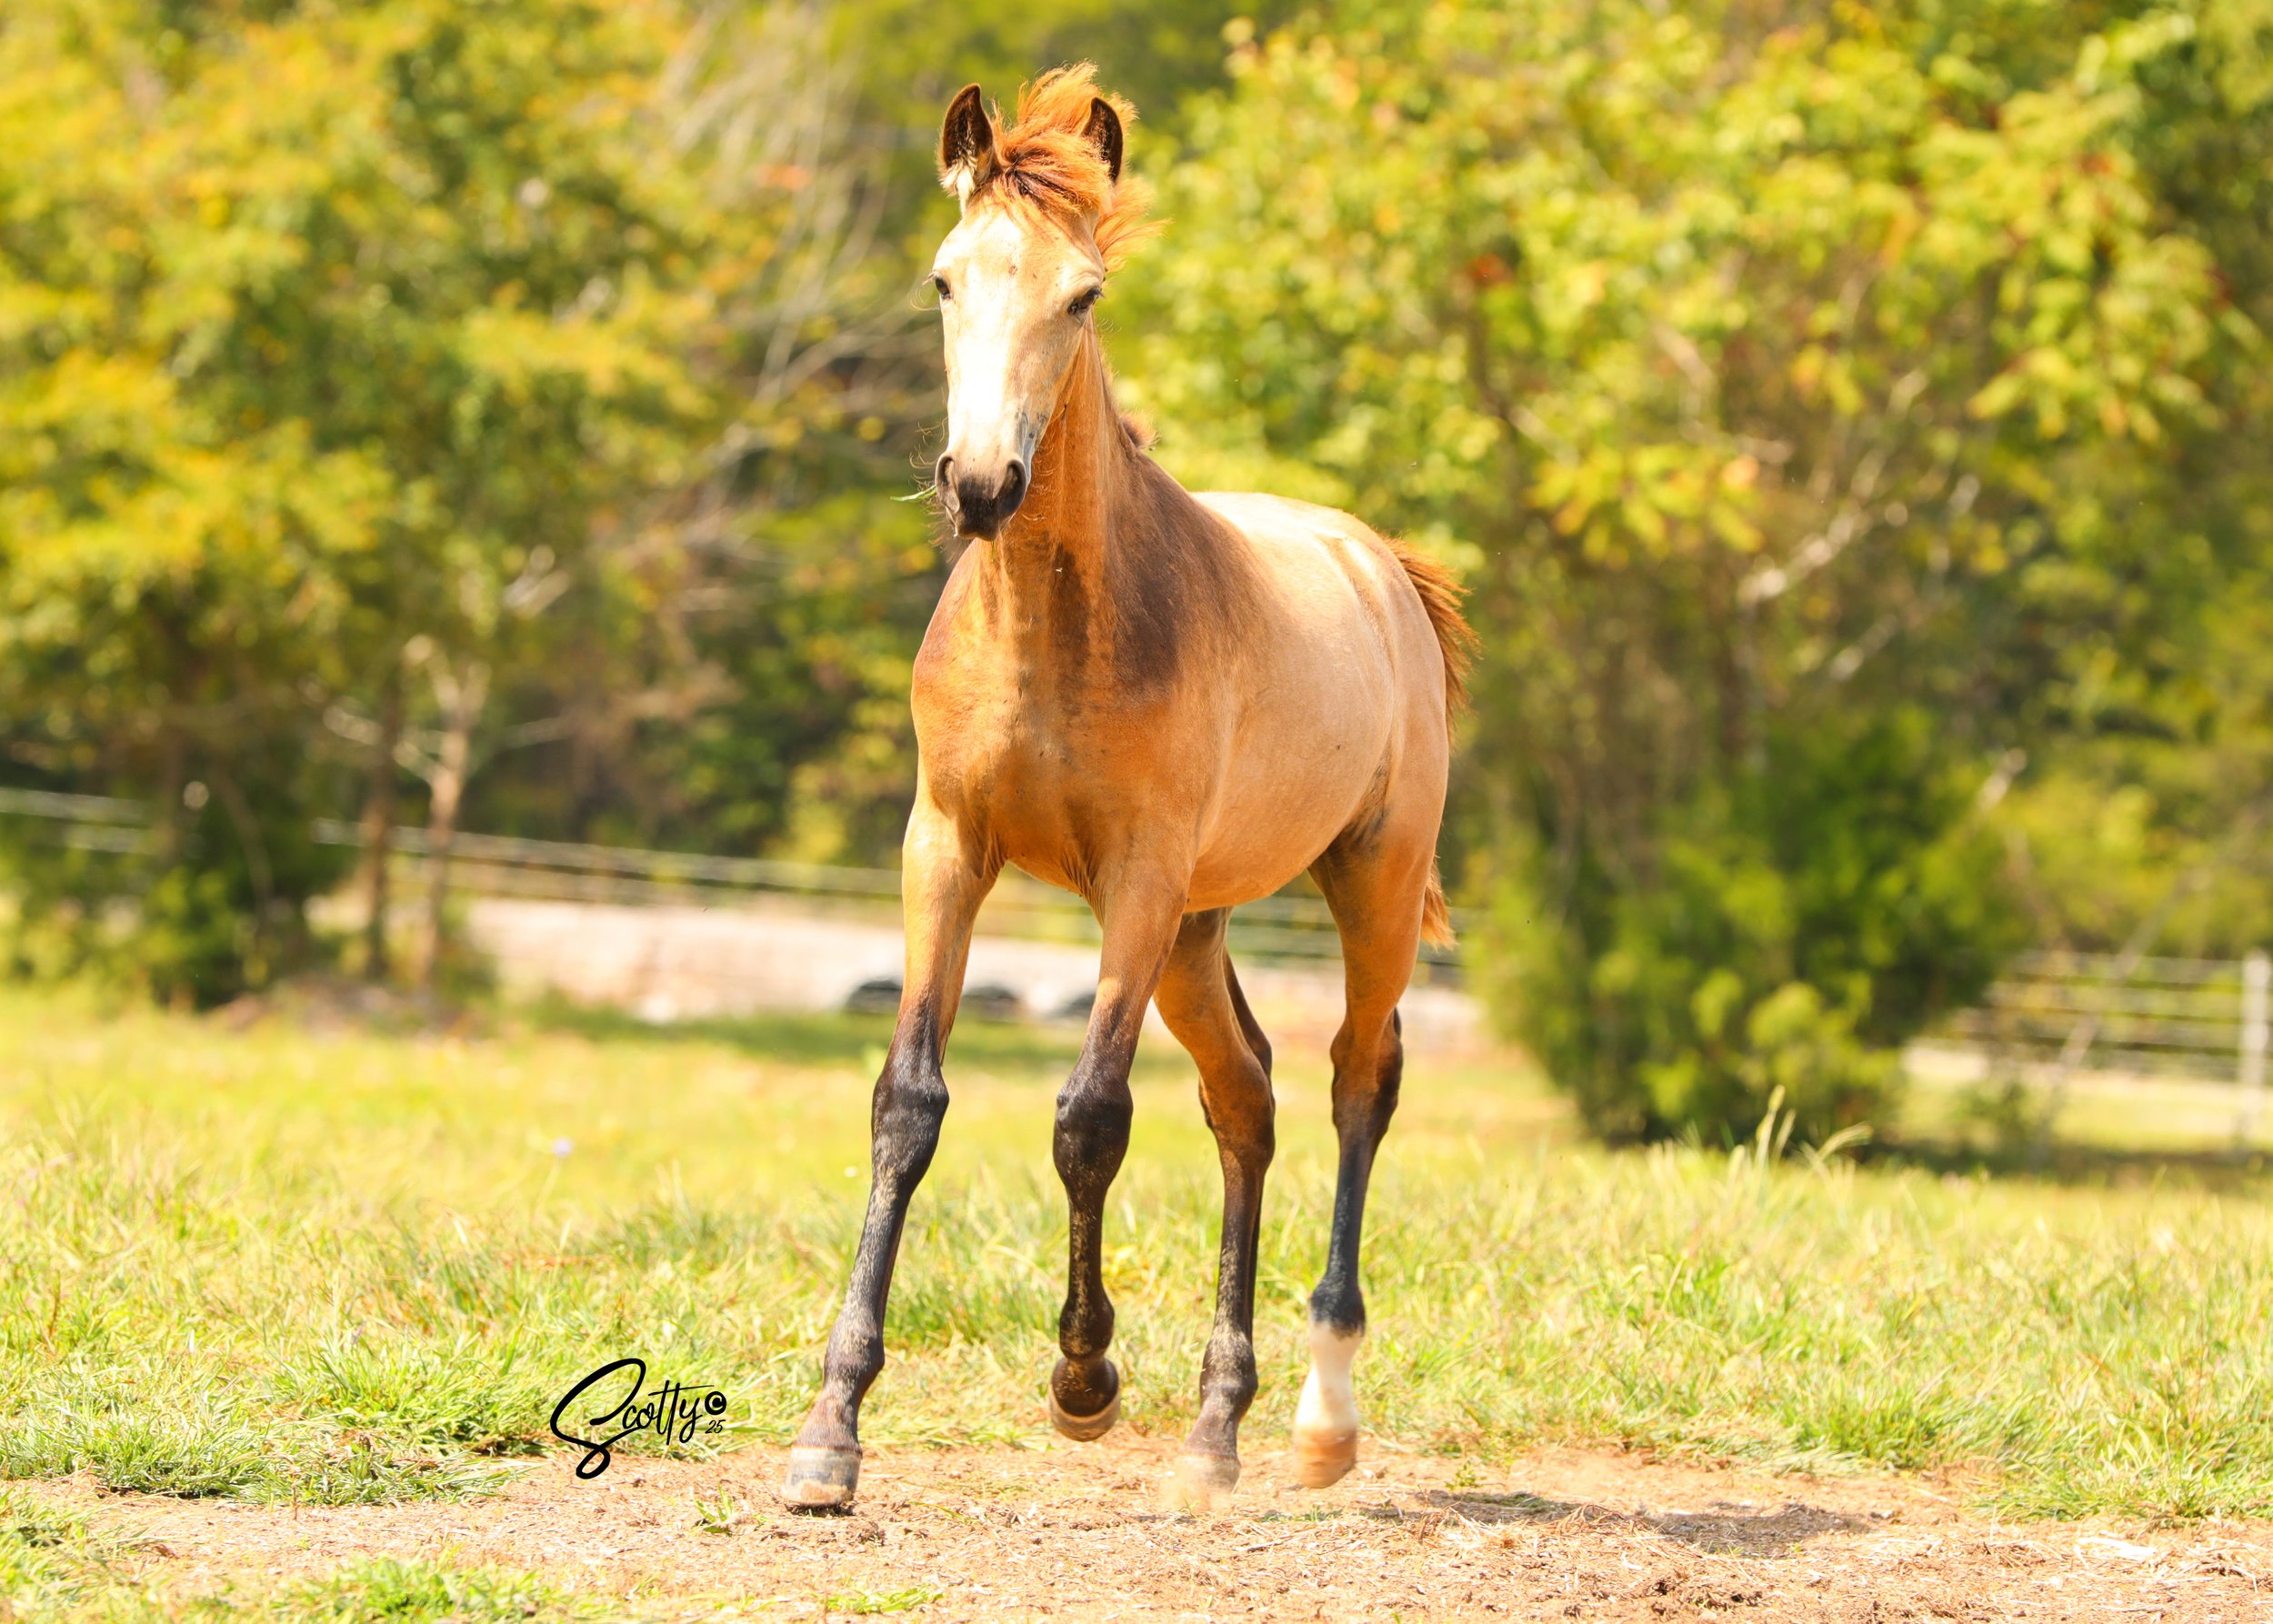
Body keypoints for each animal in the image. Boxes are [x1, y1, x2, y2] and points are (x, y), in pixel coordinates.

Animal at [780, 65, 1473, 1512]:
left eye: (1083, 295)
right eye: (943, 279)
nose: (982, 483)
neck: (1054, 630)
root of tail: (1381, 565)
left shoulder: (1136, 881)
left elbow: (1090, 1117)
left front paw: (1084, 1380)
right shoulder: (946, 849)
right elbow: (907, 1104)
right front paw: (830, 1431)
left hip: (1361, 883)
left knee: (1355, 1081)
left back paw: (1321, 1419)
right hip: (1197, 933)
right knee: (1247, 1096)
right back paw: (1216, 1427)